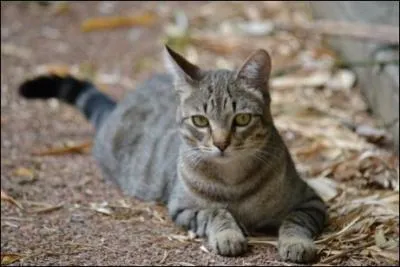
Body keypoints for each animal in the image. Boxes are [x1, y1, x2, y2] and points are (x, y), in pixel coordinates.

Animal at [17, 45, 326, 264]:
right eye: (200, 121)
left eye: (242, 119)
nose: (221, 144)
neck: (233, 180)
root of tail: (119, 105)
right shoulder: (183, 207)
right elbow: (215, 212)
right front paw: (228, 234)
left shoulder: (311, 201)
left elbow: (295, 221)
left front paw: (296, 244)